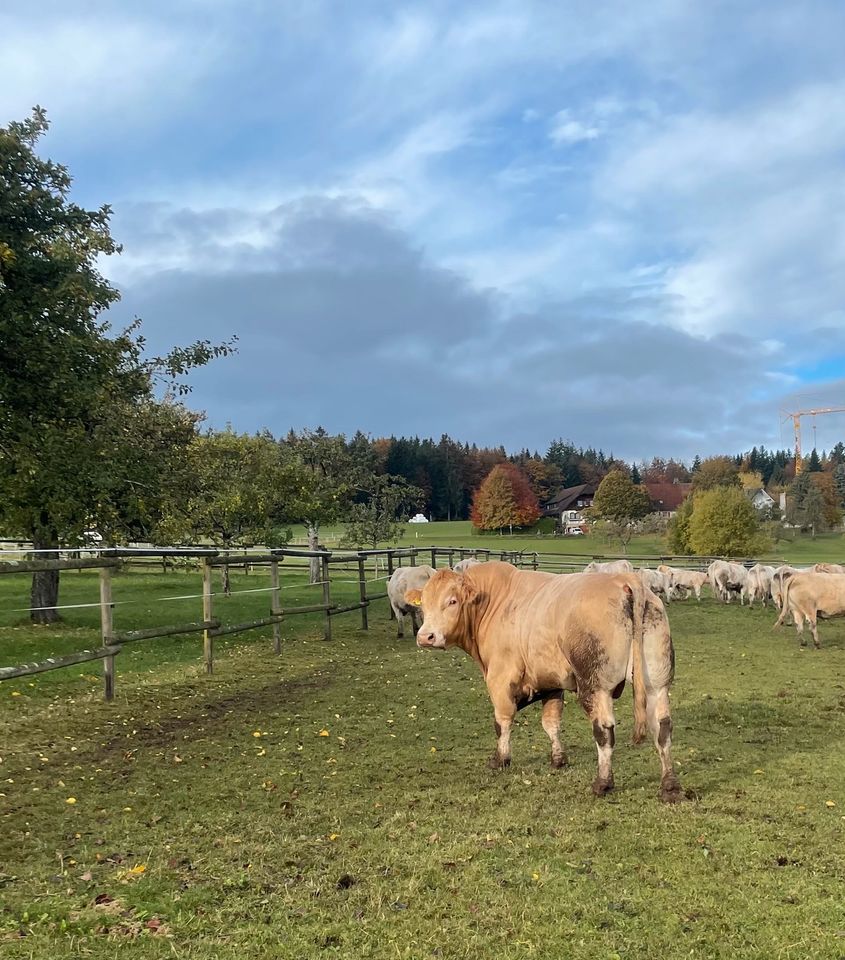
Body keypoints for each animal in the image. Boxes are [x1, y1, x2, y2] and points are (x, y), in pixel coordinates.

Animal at [406, 564, 684, 804]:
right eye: (425, 604)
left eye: (452, 601)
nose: (425, 637)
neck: (494, 602)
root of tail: (624, 580)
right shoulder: (551, 683)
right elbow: (551, 723)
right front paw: (558, 759)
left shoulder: (500, 679)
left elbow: (502, 722)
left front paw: (500, 759)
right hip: (657, 683)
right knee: (662, 728)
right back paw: (670, 786)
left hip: (596, 686)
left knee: (604, 731)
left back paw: (603, 783)